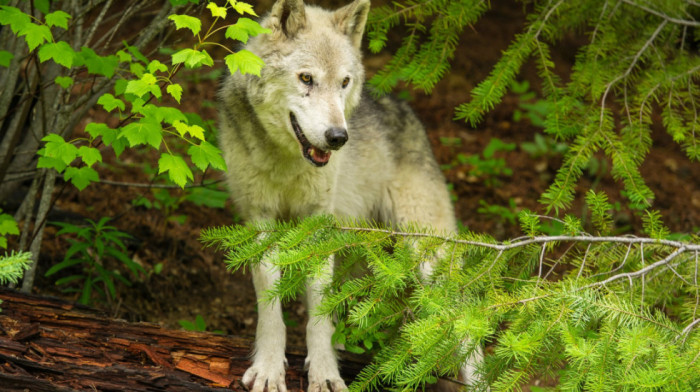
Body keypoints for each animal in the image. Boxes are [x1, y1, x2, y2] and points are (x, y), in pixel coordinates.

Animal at [217, 0, 482, 388]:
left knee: (466, 322)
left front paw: (325, 374)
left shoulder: (317, 222)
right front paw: (268, 369)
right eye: (306, 78)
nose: (338, 137)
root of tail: (409, 113)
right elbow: (270, 305)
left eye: (344, 82)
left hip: (426, 251)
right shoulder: (260, 219)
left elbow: (318, 309)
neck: (287, 162)